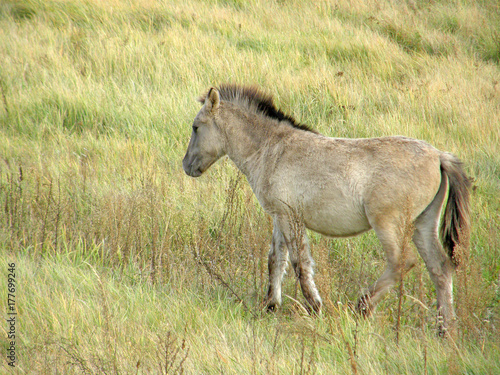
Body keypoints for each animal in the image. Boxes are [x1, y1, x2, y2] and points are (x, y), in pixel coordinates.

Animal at [182, 84, 470, 334]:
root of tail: (438, 156)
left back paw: (362, 307)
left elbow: (299, 264)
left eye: (196, 127)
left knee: (402, 261)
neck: (272, 149)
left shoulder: (289, 217)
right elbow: (276, 260)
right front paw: (270, 305)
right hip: (424, 223)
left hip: (388, 223)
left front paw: (315, 307)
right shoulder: (280, 216)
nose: (186, 166)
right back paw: (445, 330)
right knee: (440, 268)